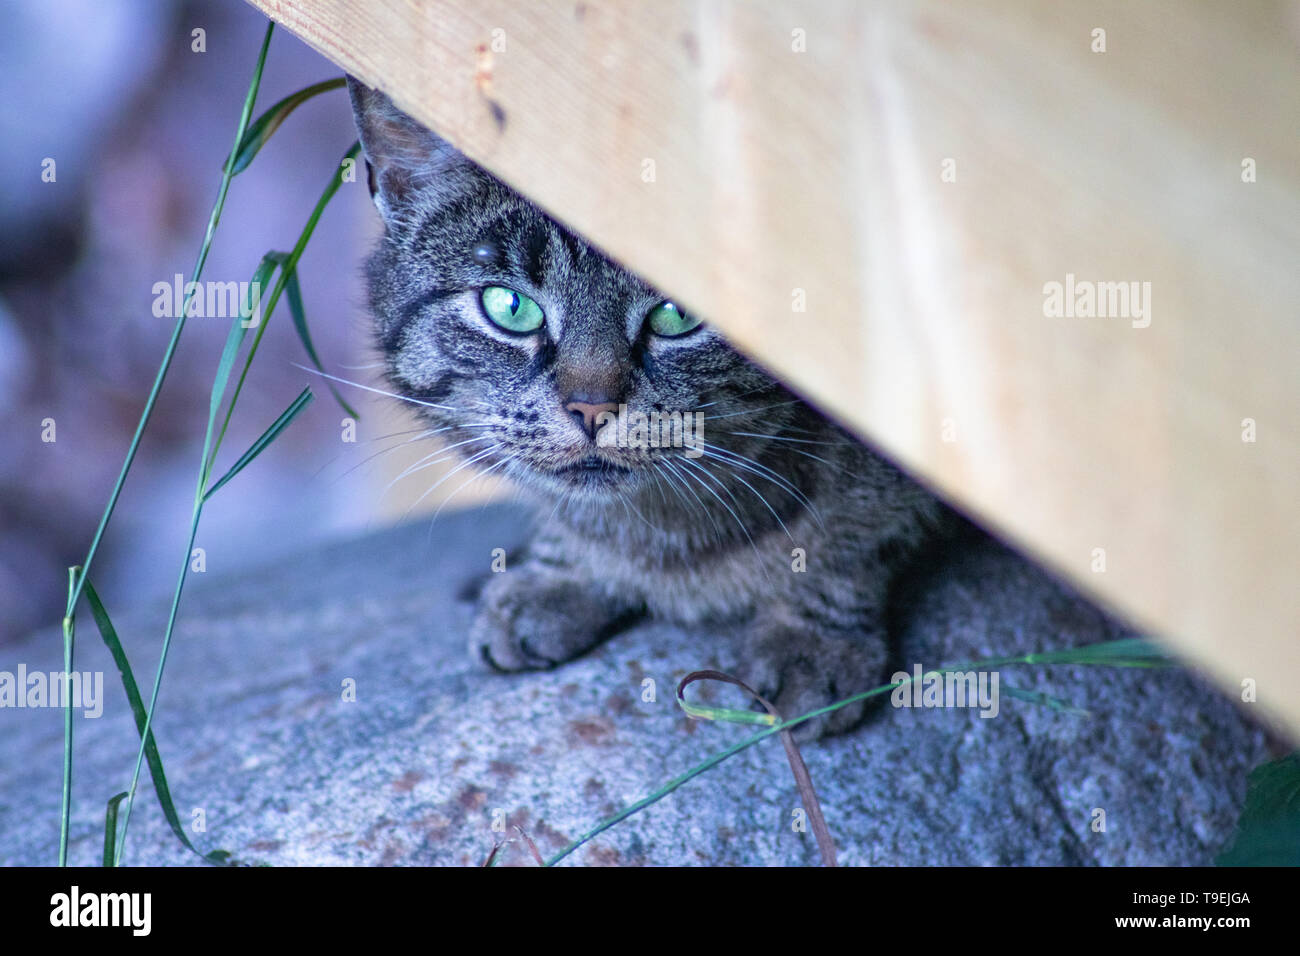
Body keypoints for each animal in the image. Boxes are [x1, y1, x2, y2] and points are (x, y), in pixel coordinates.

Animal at [348, 80, 946, 738]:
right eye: (510, 307)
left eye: (678, 313)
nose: (591, 409)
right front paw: (564, 570)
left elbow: (853, 536)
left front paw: (812, 637)